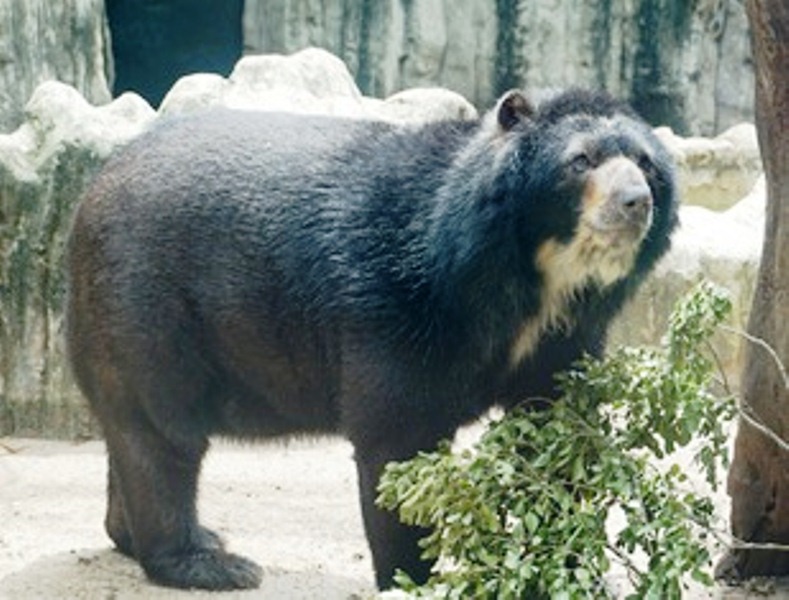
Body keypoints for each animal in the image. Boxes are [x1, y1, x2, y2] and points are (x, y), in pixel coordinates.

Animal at [65, 88, 678, 591]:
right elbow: (397, 440)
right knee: (162, 432)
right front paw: (414, 577)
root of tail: (92, 190)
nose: (635, 201)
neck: (530, 282)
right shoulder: (397, 307)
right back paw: (210, 562)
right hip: (145, 303)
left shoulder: (564, 337)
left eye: (646, 164)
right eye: (581, 161)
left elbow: (556, 431)